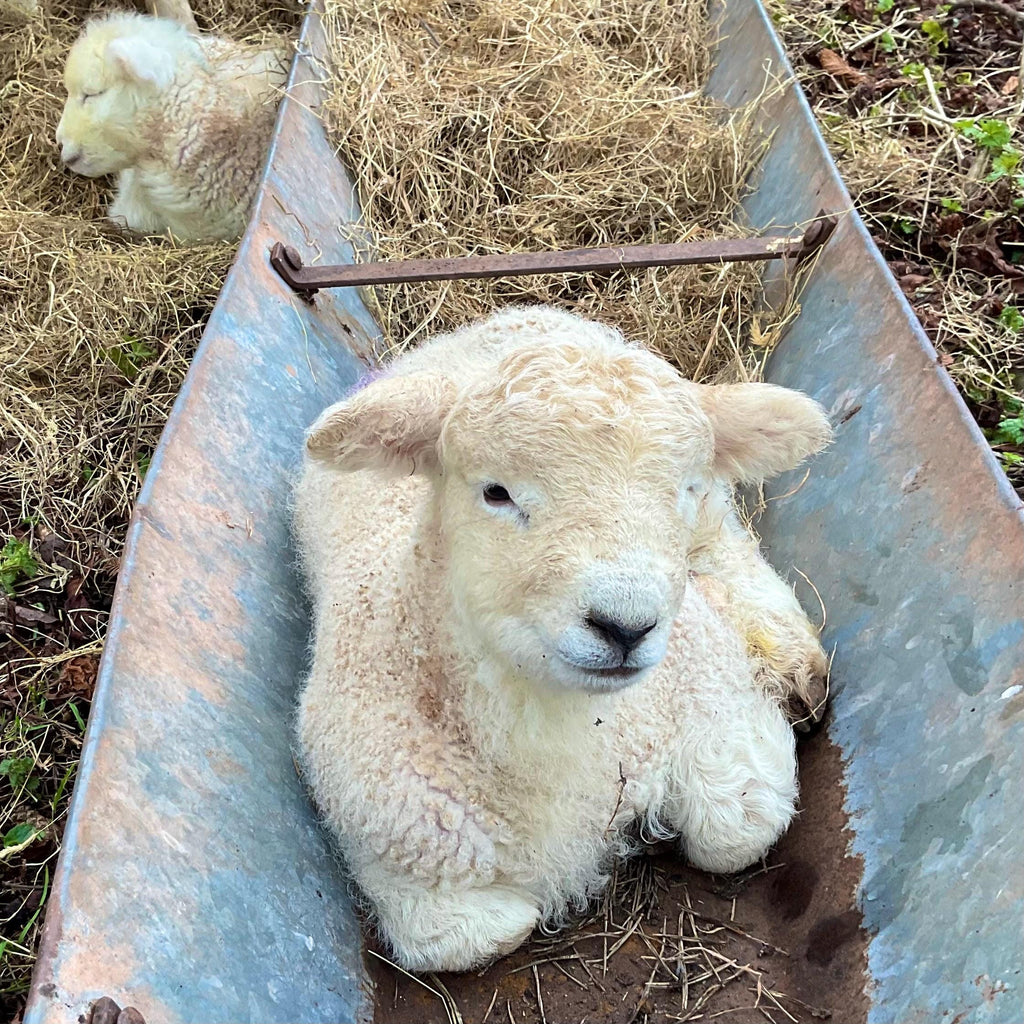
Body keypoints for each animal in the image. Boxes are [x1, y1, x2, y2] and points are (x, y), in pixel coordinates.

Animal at [294, 305, 833, 973]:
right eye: (495, 491)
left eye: (682, 487)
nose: (626, 625)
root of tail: (508, 317)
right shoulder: (412, 867)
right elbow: (492, 933)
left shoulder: (717, 707)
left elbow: (737, 831)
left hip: (715, 521)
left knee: (725, 549)